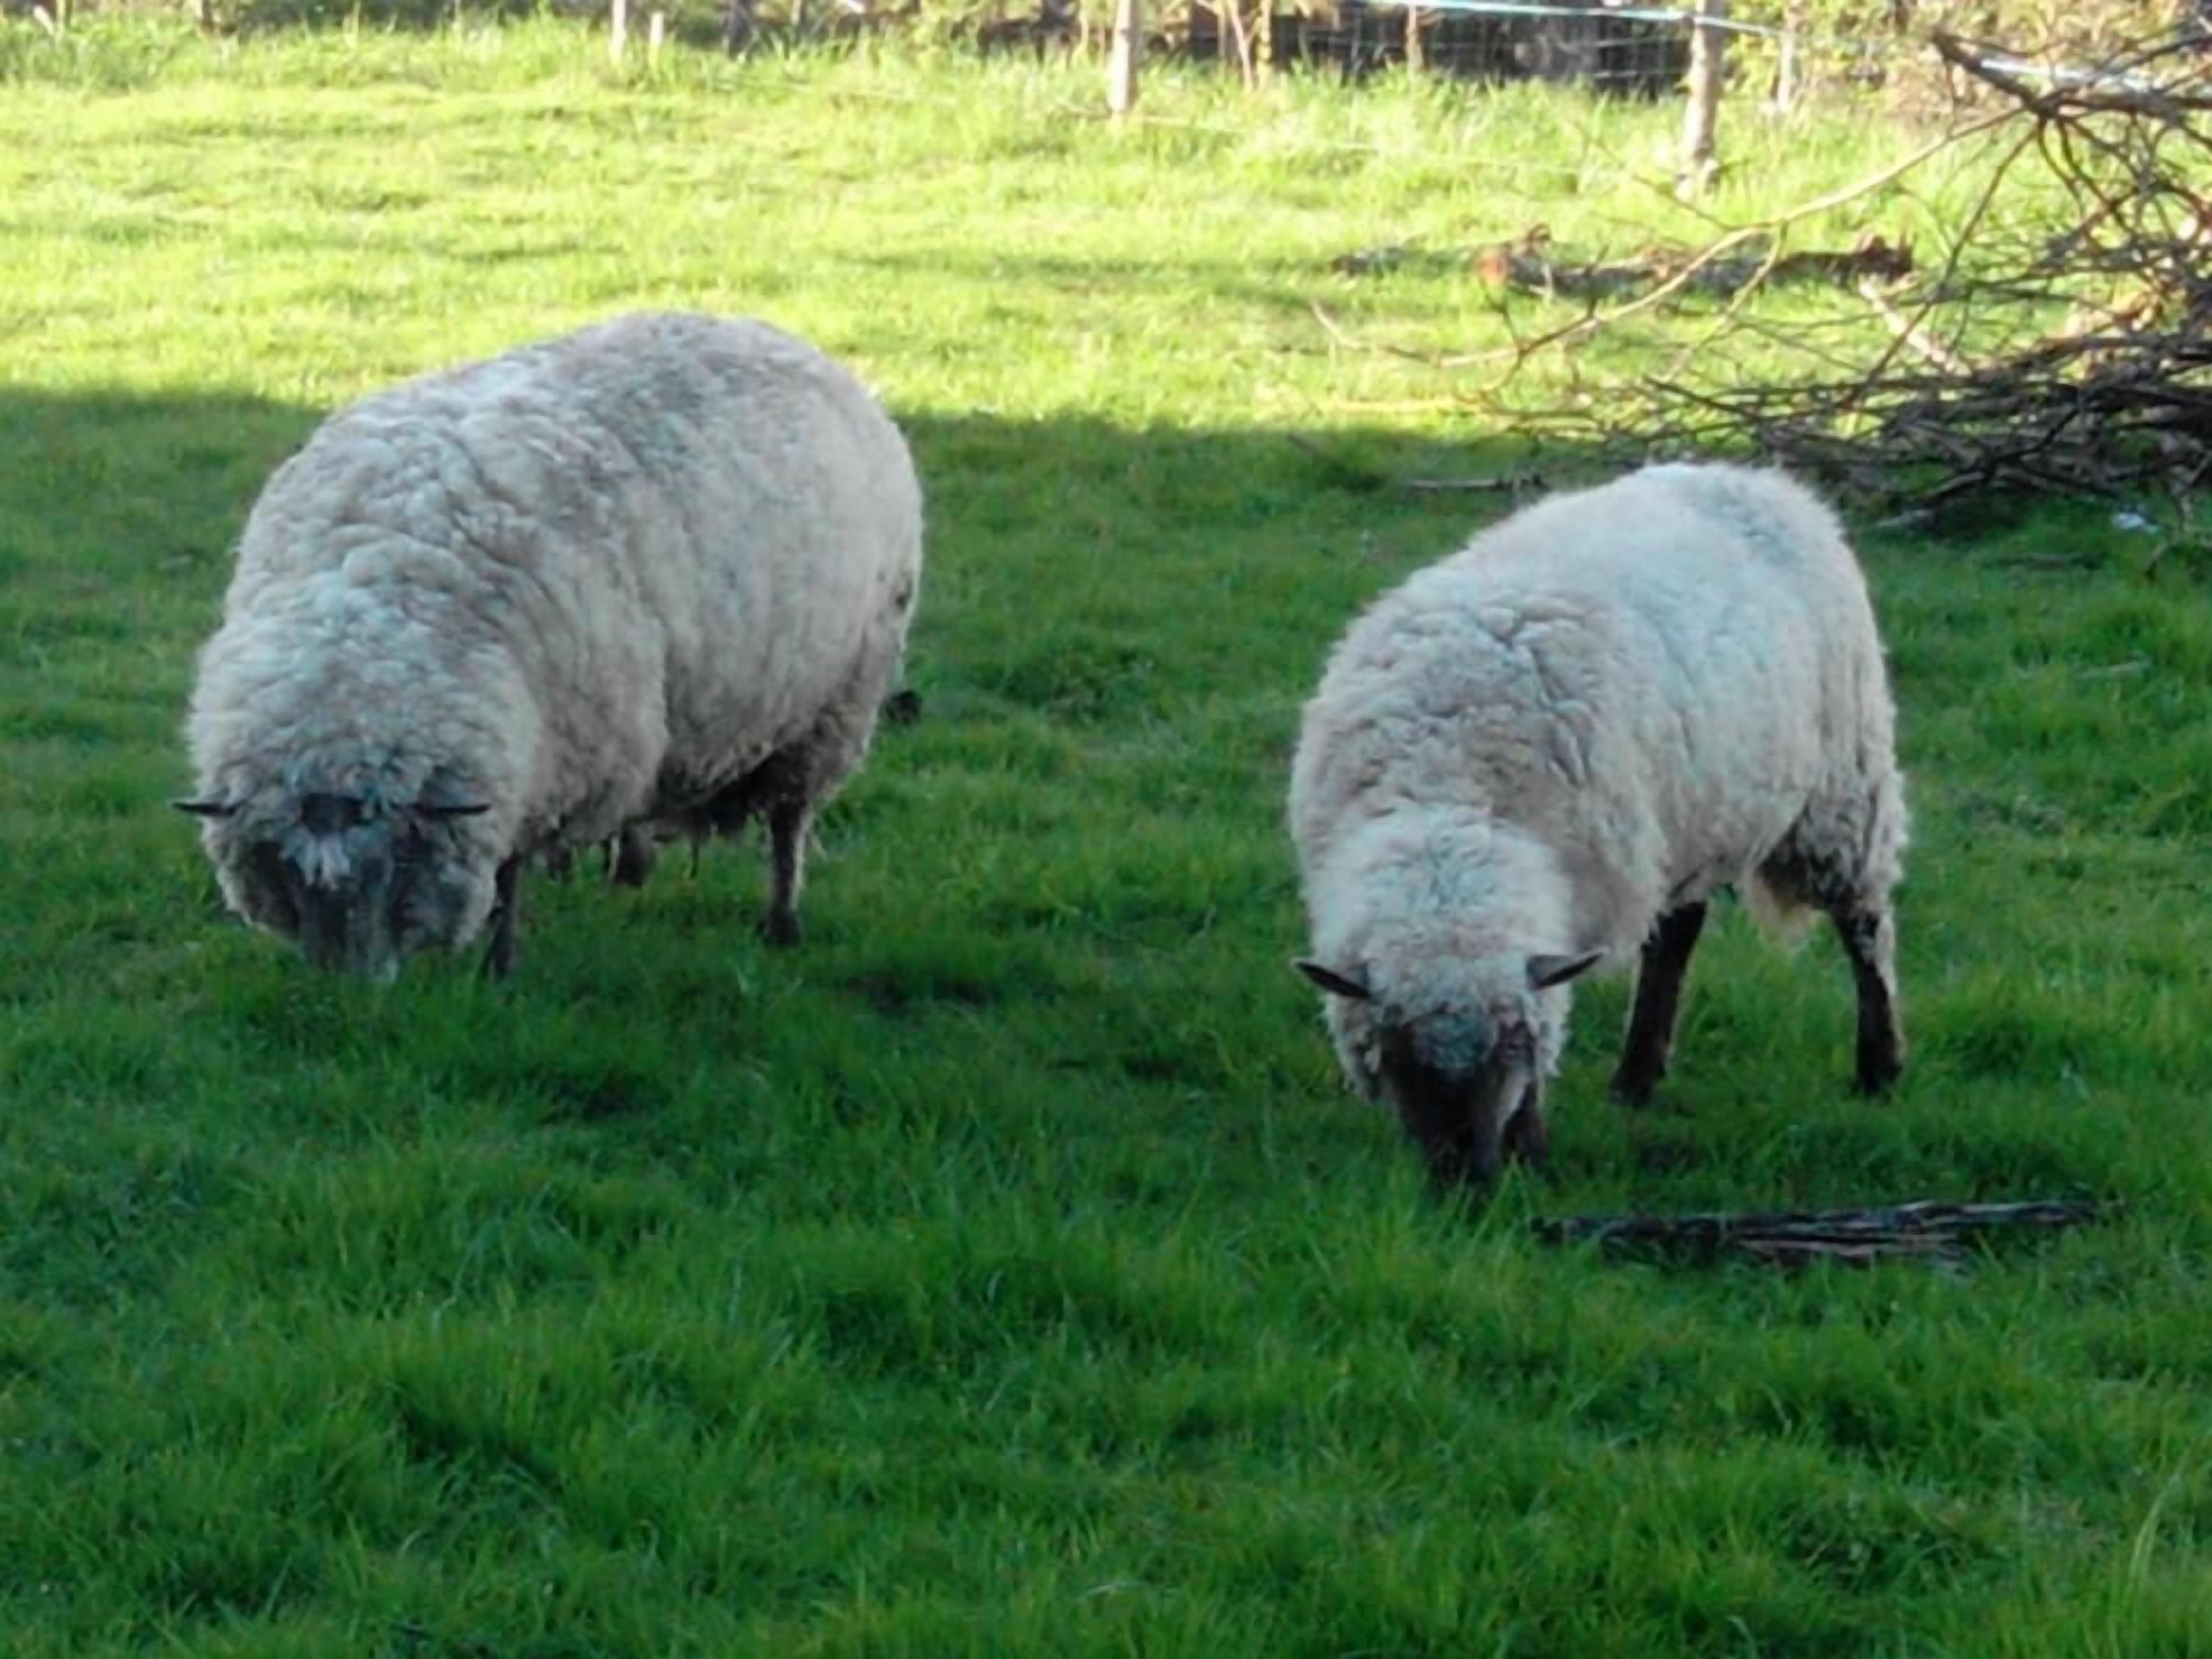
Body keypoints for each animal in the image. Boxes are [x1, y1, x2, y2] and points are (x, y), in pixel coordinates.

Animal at [178, 311, 924, 982]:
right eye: (284, 870)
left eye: (399, 861)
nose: (351, 990)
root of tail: (781, 335)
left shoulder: (547, 764)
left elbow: (511, 873)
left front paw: (501, 967)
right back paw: (630, 865)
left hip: (836, 703)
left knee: (789, 824)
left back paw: (782, 921)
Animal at [1288, 461, 1906, 1186]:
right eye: (1395, 1049)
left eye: (1515, 1044)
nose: (1469, 1180)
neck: (1450, 794)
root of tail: (1759, 479)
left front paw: (1530, 1147)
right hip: (1688, 815)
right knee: (1678, 933)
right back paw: (1636, 1077)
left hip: (1842, 789)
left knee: (1864, 926)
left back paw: (1880, 1067)